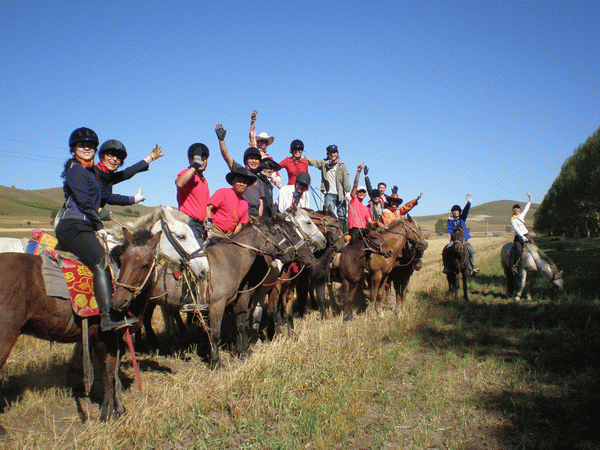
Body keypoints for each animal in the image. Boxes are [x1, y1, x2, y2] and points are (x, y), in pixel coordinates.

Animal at [0, 227, 162, 438]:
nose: (118, 301)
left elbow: (114, 372)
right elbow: (107, 373)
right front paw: (107, 411)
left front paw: (118, 407)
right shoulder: (103, 338)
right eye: (124, 260)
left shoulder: (113, 339)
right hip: (5, 336)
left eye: (144, 265)